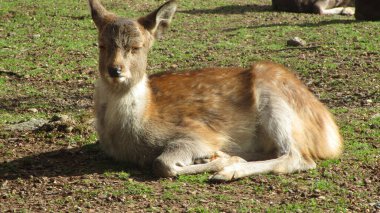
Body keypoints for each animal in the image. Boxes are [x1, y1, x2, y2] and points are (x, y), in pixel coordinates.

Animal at [89, 0, 342, 181]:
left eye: (136, 47)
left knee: (297, 157)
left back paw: (226, 171)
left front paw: (222, 162)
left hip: (276, 101)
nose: (115, 70)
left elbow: (162, 163)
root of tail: (331, 134)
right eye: (101, 45)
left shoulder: (198, 134)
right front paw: (213, 158)